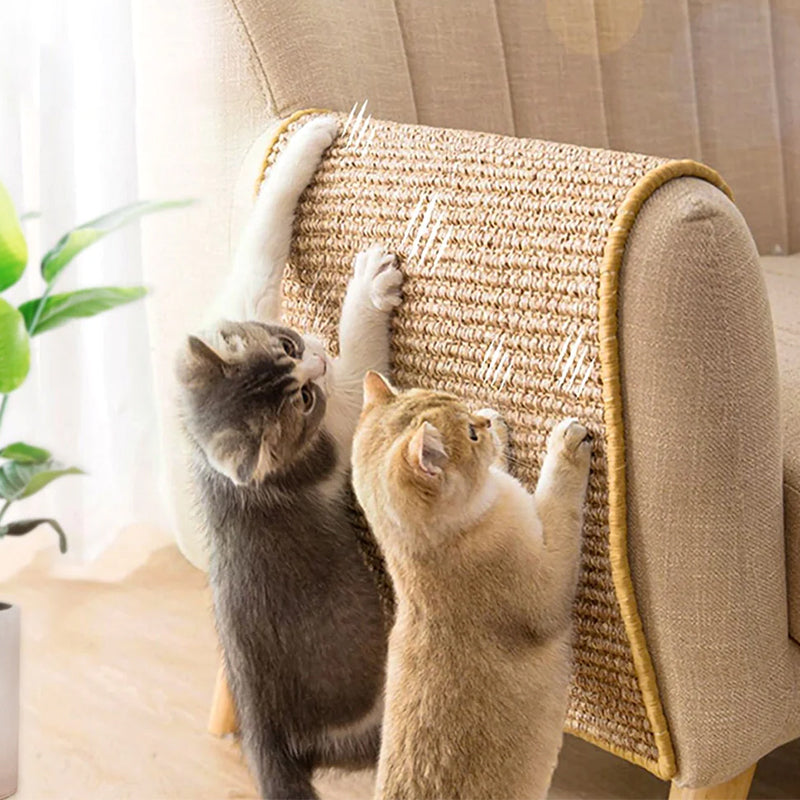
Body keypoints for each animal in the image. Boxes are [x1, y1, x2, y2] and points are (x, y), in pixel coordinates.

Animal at [175, 115, 400, 796]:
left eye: (286, 343)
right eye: (302, 399)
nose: (315, 357)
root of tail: (266, 737)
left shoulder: (244, 297)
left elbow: (262, 242)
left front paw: (311, 138)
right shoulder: (338, 423)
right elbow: (360, 356)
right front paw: (368, 285)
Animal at [354, 374, 592, 800]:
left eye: (465, 411)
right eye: (469, 435)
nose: (480, 421)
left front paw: (497, 424)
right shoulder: (549, 587)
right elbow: (558, 498)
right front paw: (565, 443)